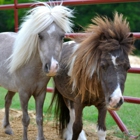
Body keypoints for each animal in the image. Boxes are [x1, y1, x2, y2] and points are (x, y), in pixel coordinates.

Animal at [49, 12, 135, 140]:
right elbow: (77, 127)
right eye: (103, 65)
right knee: (72, 118)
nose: (116, 101)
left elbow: (101, 130)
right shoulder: (78, 104)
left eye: (128, 67)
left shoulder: (103, 105)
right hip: (67, 98)